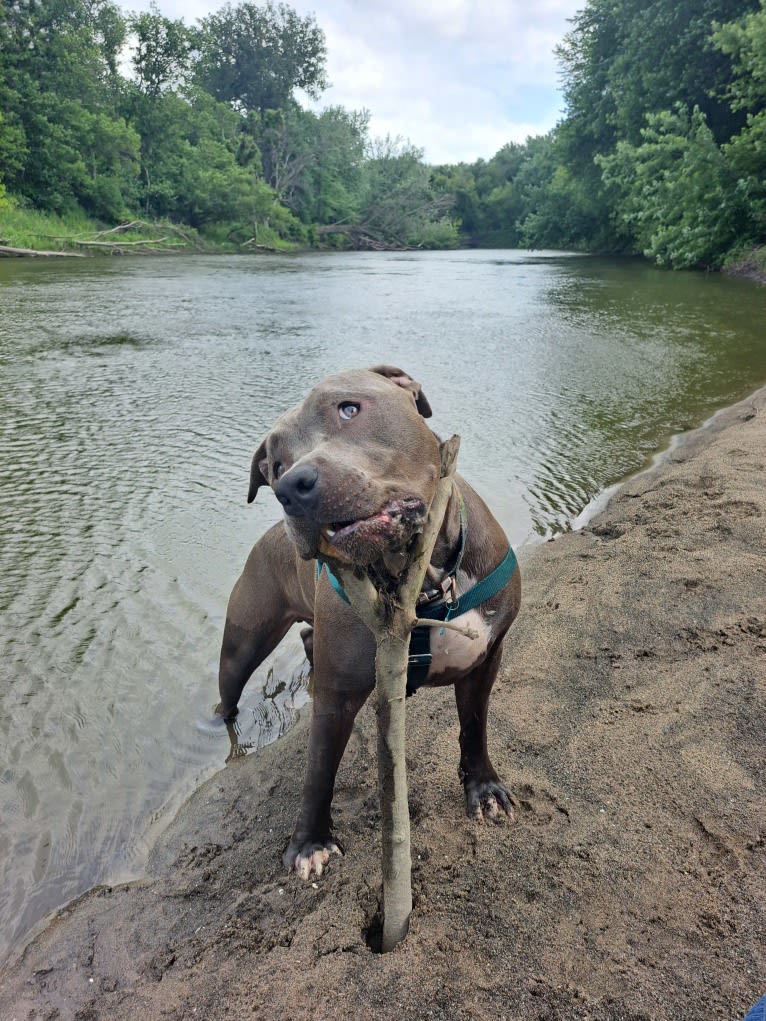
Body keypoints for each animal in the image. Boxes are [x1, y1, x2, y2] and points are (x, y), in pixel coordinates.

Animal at [218, 367, 527, 878]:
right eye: (275, 465)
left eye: (349, 409)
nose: (290, 487)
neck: (421, 586)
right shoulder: (337, 695)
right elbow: (319, 770)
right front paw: (309, 843)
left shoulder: (487, 657)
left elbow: (474, 726)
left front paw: (483, 788)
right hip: (240, 647)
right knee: (229, 694)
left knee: (307, 636)